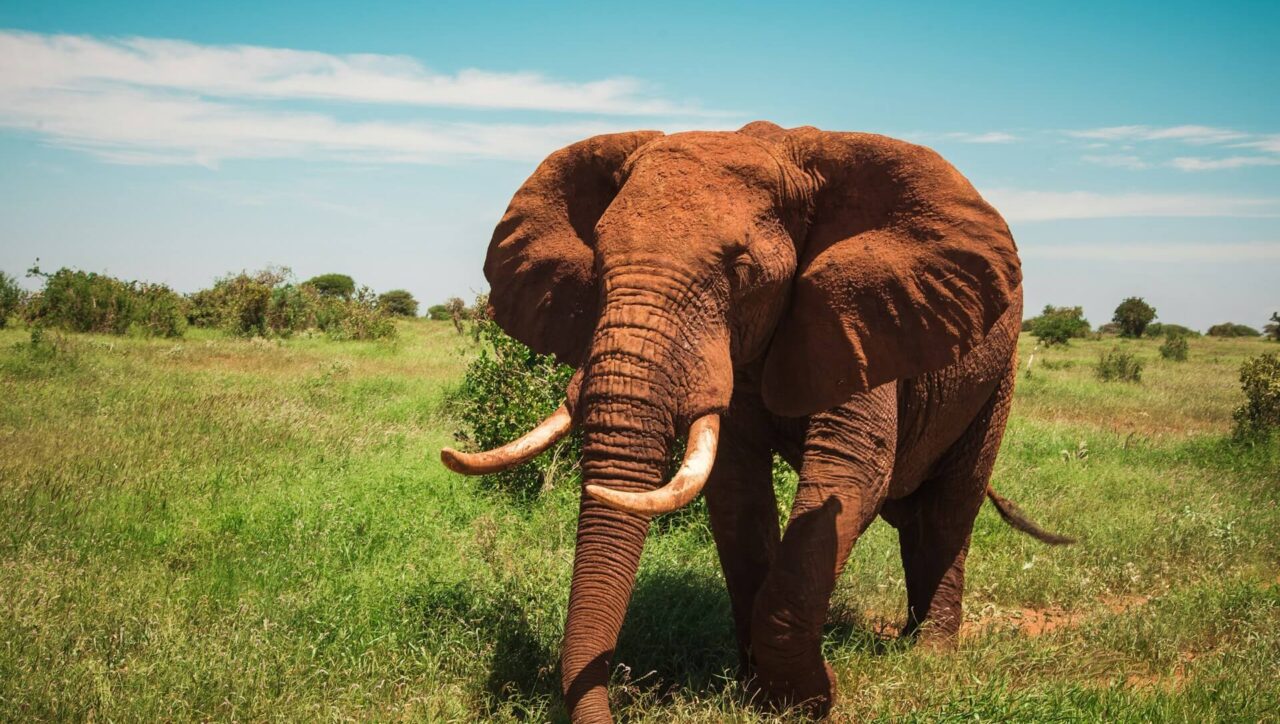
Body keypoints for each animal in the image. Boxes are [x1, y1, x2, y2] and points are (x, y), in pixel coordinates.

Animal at [440, 121, 1072, 722]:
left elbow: (851, 473)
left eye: (742, 269)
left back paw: (930, 656)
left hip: (997, 374)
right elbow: (738, 493)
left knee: (949, 509)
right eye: (596, 261)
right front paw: (760, 693)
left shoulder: (861, 318)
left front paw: (810, 699)